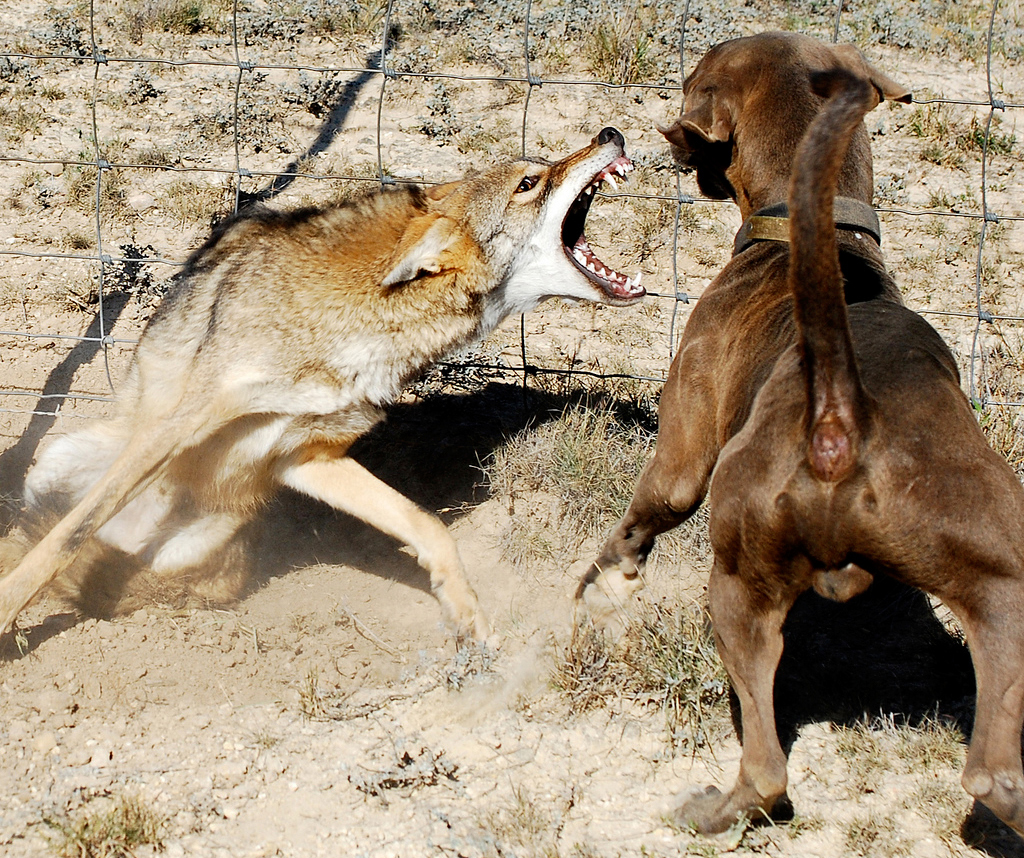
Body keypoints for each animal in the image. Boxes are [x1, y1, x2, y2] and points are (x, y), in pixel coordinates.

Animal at [577, 33, 1024, 839]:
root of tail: (843, 415)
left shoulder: (683, 450)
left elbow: (640, 520)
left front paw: (601, 582)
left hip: (736, 579)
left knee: (766, 766)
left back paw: (713, 810)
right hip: (1004, 581)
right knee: (993, 775)